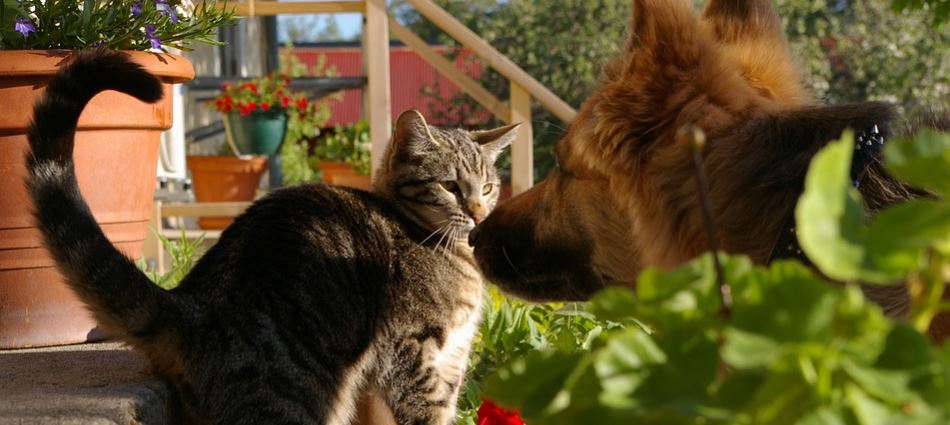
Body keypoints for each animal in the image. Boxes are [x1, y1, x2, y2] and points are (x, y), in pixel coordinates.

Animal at [27, 50, 520, 424]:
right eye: (451, 186)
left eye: (487, 187)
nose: (478, 212)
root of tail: (190, 304)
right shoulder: (412, 354)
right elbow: (430, 412)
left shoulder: (453, 357)